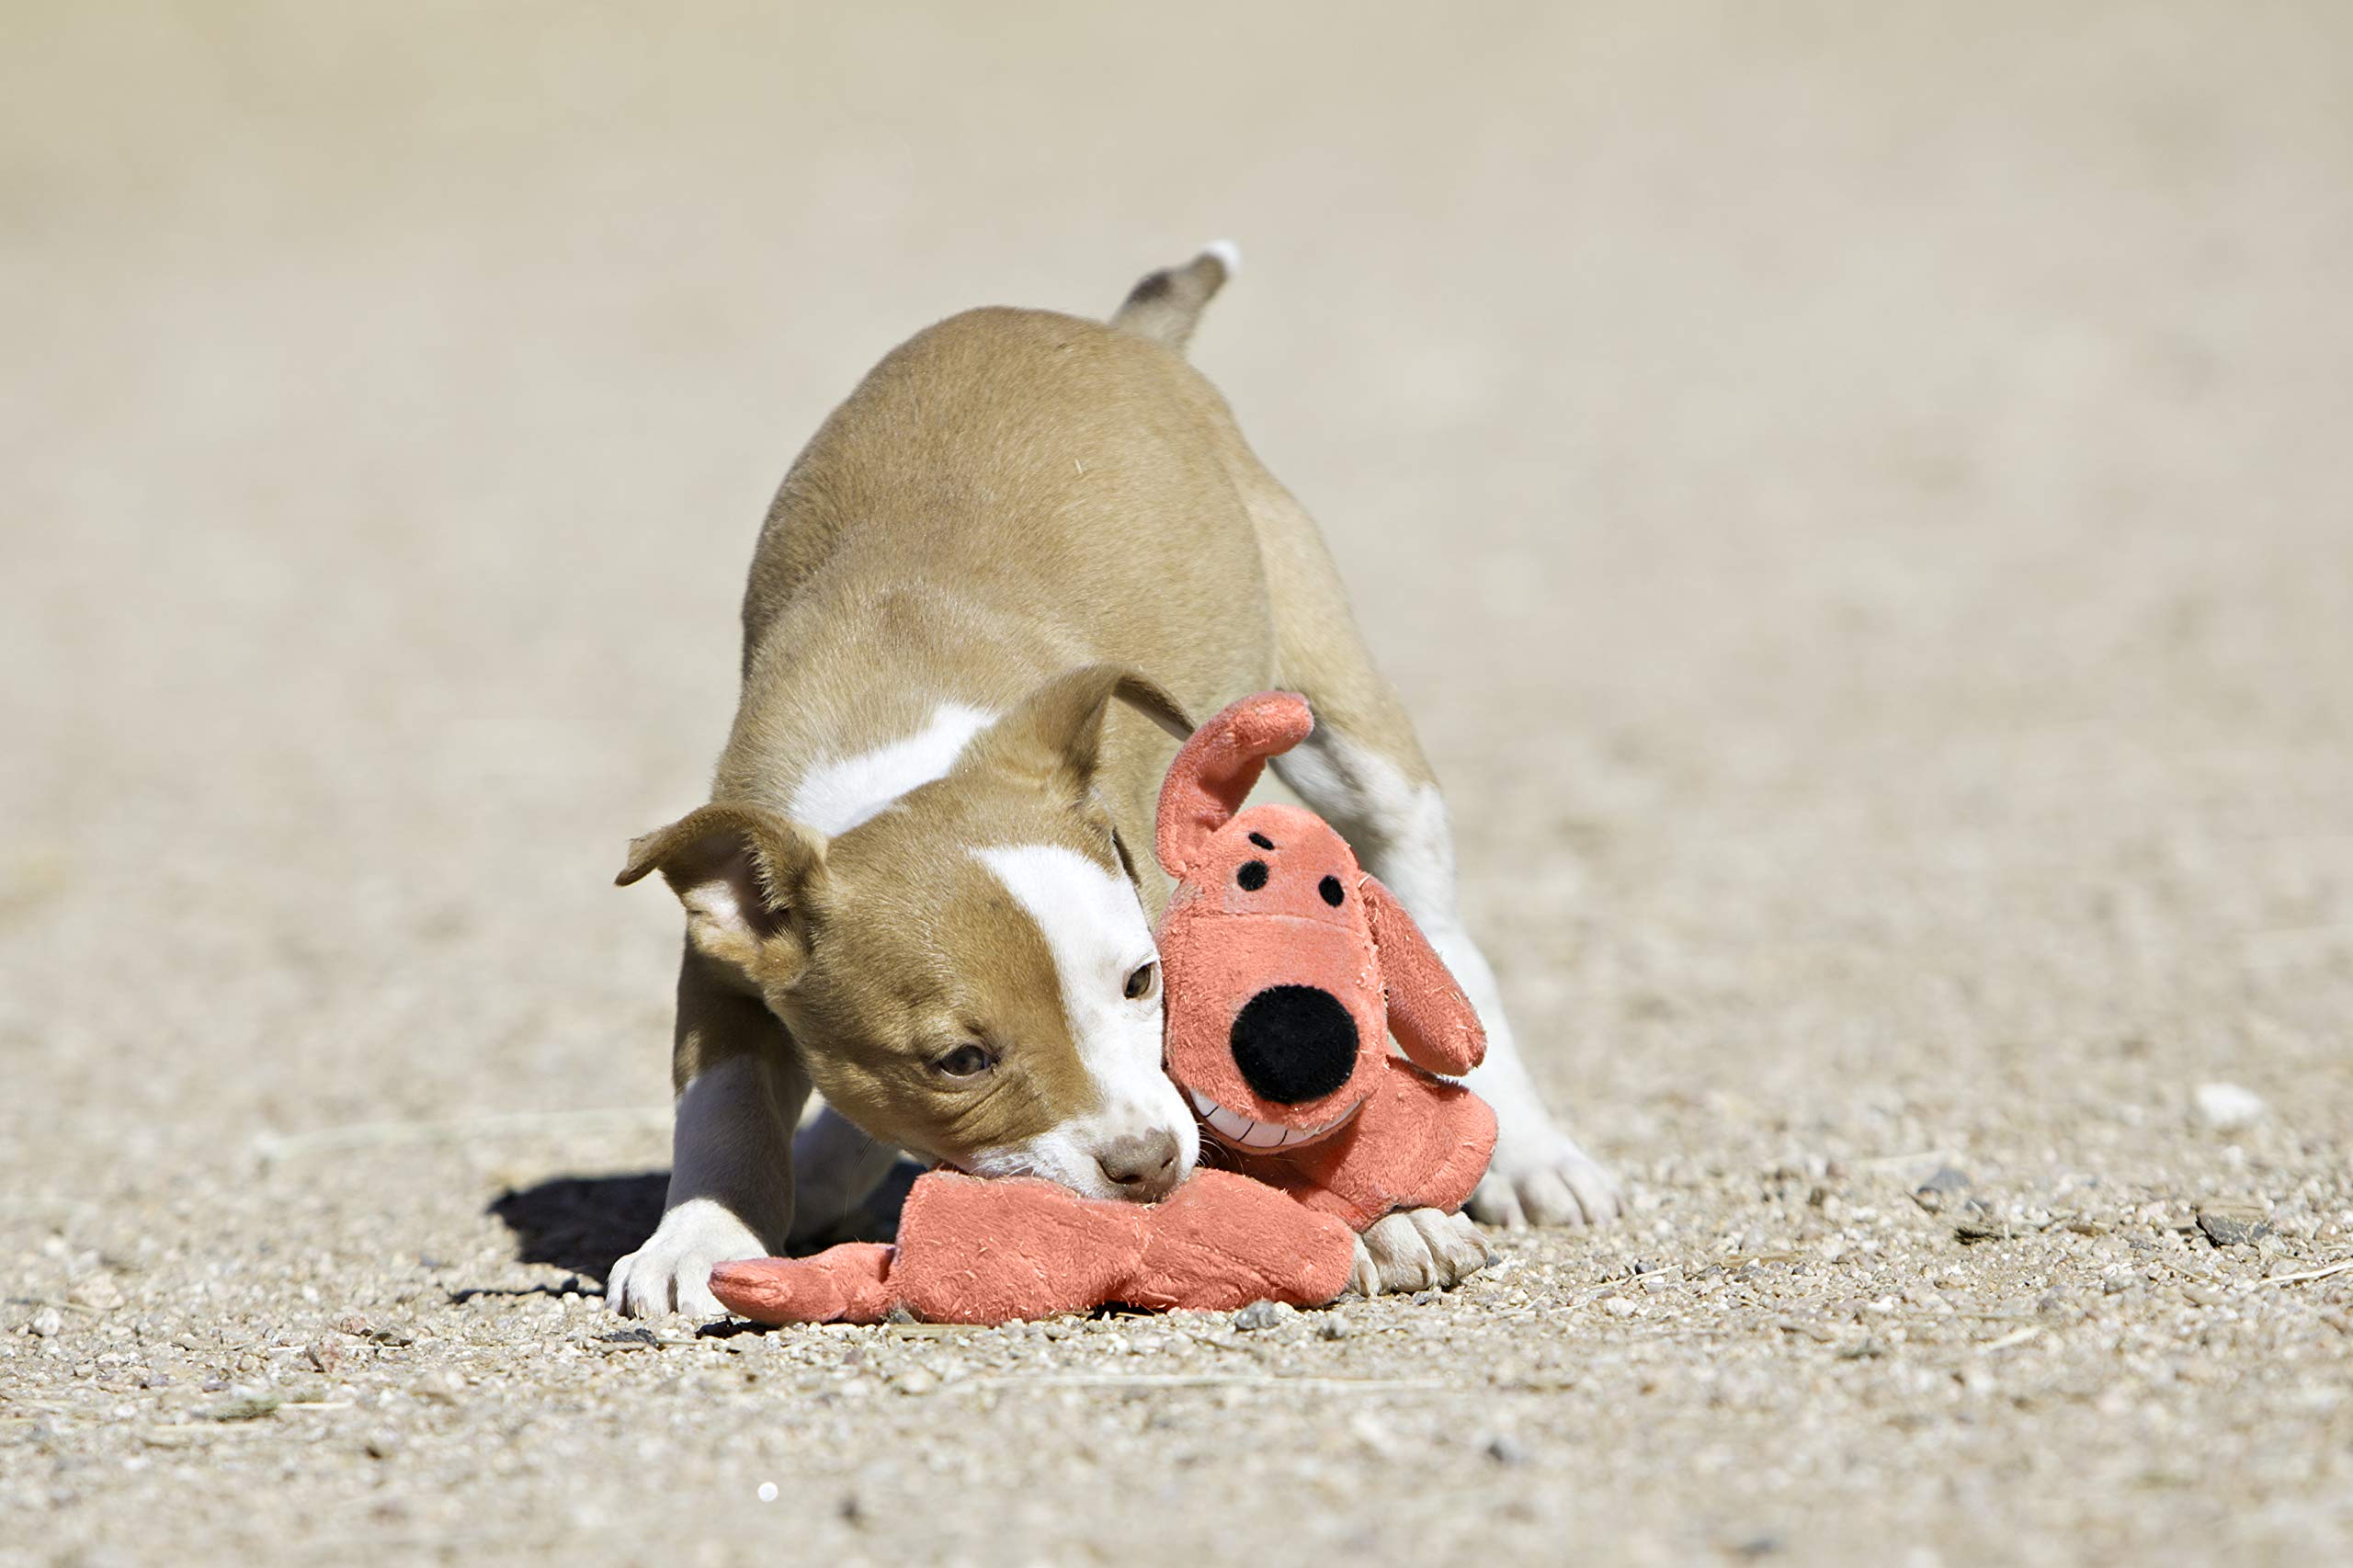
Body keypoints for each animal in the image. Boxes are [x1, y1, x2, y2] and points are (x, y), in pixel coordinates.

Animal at [607, 246, 1619, 1318]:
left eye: (1141, 982)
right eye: (959, 1061)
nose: (1146, 1164)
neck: (903, 749)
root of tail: (1122, 332)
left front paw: (1382, 1226)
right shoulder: (722, 952)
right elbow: (723, 1103)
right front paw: (700, 1237)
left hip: (1353, 734)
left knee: (1451, 944)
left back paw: (1535, 1157)